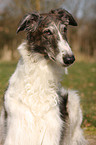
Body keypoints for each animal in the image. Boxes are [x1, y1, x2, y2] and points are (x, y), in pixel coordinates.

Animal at [0, 8, 86, 144]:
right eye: (47, 32)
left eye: (65, 29)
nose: (70, 59)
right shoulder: (17, 129)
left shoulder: (51, 130)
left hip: (72, 101)